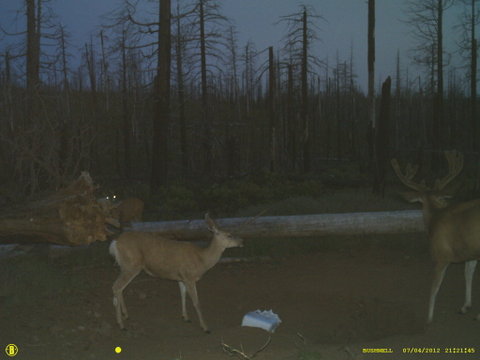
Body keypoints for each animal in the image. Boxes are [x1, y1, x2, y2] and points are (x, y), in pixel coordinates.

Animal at [109, 212, 244, 334]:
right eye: (229, 235)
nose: (241, 241)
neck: (202, 260)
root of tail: (115, 243)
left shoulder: (181, 278)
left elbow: (182, 294)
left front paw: (185, 317)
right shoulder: (189, 277)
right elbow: (196, 302)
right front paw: (205, 327)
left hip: (125, 266)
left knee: (119, 287)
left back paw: (126, 315)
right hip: (132, 265)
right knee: (116, 286)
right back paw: (121, 325)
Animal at [390, 150, 480, 324]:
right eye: (442, 198)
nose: (445, 203)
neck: (434, 218)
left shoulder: (441, 255)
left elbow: (434, 287)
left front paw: (429, 318)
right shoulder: (470, 251)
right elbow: (468, 273)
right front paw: (465, 306)